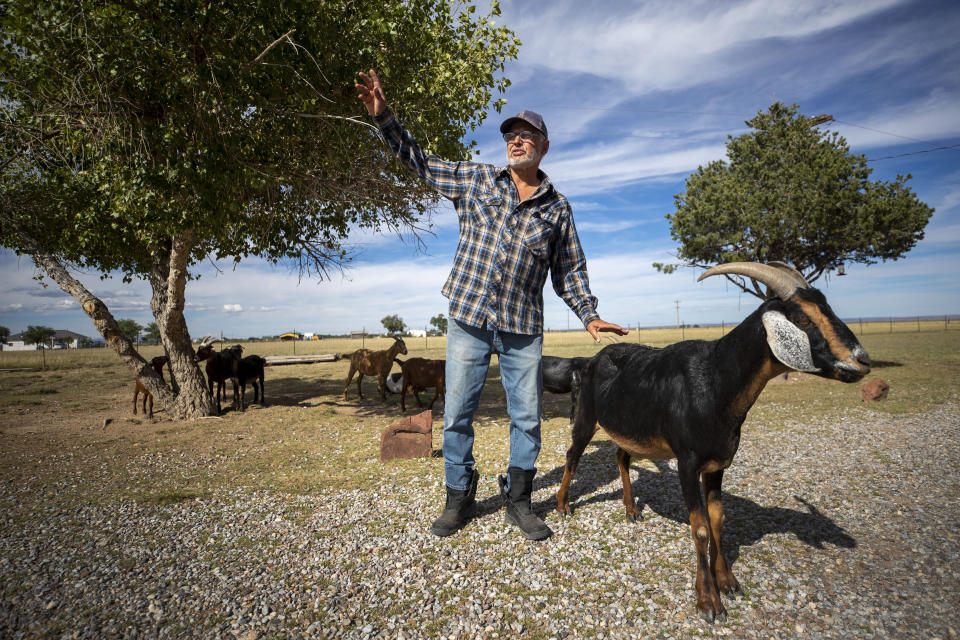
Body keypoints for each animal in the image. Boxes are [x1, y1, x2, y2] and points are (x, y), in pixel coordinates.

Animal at [552, 262, 872, 624]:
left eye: (827, 307)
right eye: (803, 318)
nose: (861, 361)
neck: (714, 380)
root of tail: (590, 360)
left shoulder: (718, 463)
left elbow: (717, 519)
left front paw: (728, 582)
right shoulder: (687, 463)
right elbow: (701, 528)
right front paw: (708, 601)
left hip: (631, 430)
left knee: (622, 457)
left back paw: (632, 510)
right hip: (586, 417)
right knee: (573, 454)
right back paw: (563, 505)